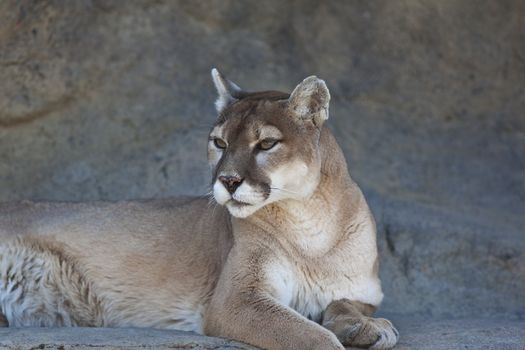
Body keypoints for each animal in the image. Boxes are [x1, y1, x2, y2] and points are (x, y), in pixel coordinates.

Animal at [0, 70, 398, 350]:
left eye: (266, 144)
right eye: (219, 143)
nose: (228, 180)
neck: (311, 224)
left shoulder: (363, 291)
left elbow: (342, 305)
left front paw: (367, 328)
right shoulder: (237, 299)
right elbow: (309, 335)